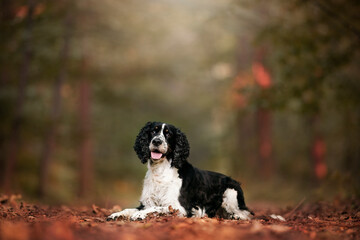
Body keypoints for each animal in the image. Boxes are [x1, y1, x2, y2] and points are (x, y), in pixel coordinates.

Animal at [107, 122, 253, 221]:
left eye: (168, 133)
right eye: (153, 131)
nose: (157, 141)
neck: (161, 170)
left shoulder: (180, 207)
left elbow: (157, 208)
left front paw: (139, 214)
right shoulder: (146, 202)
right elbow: (130, 208)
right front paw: (116, 214)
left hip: (231, 192)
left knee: (246, 214)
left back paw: (236, 217)